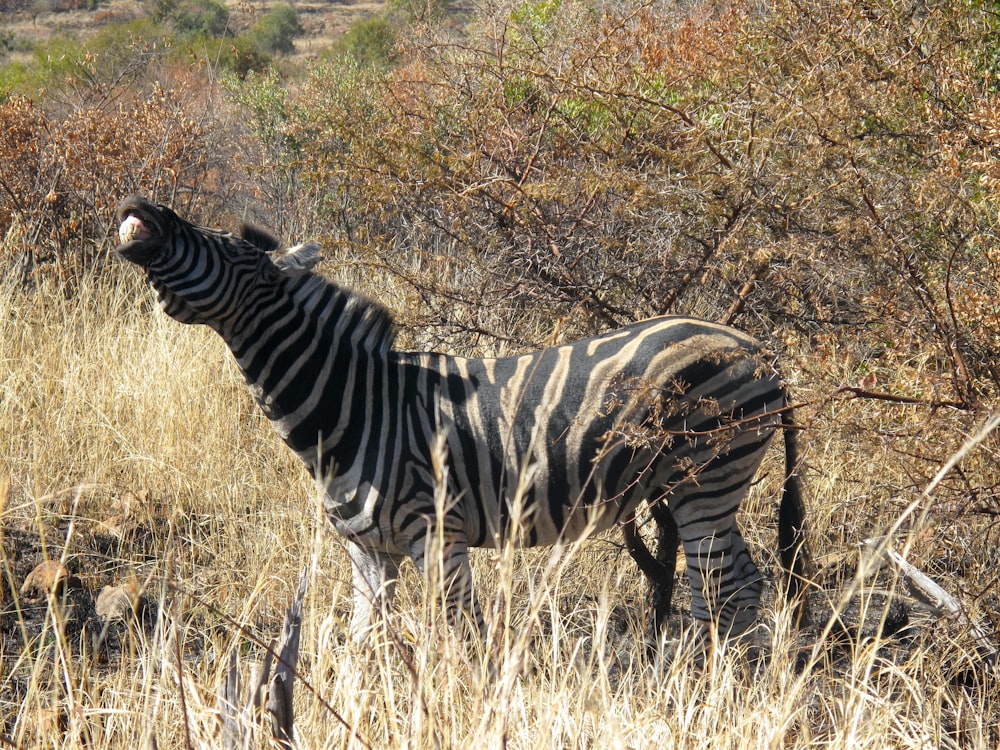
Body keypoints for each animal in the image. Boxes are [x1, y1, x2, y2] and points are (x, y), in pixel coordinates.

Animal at [113, 197, 808, 648]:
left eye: (224, 249)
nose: (138, 203)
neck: (353, 406)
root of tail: (755, 346)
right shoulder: (367, 551)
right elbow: (363, 645)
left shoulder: (437, 533)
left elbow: (460, 638)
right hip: (701, 485)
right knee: (729, 585)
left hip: (706, 478)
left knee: (730, 586)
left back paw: (718, 683)